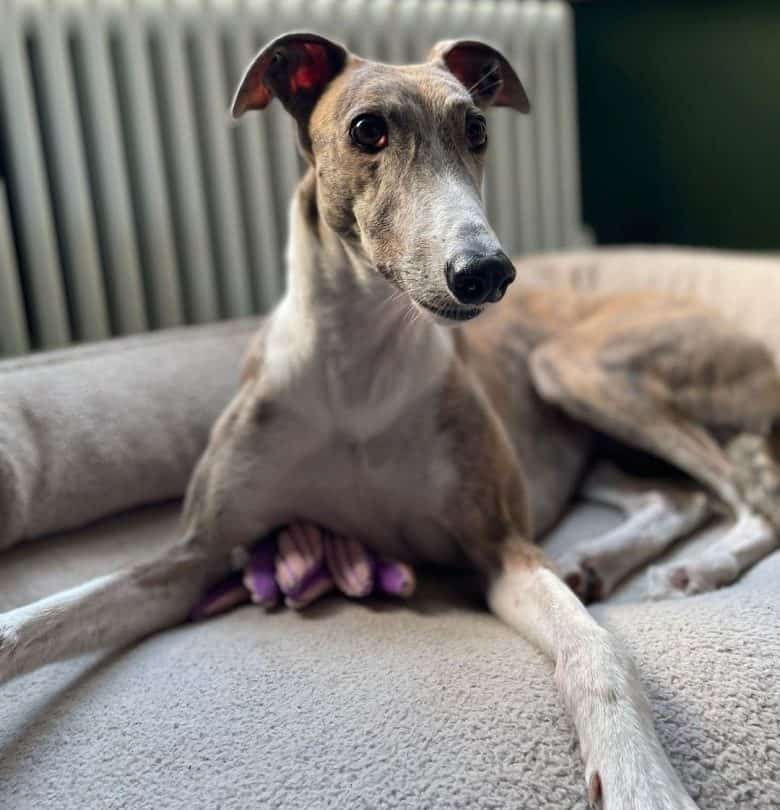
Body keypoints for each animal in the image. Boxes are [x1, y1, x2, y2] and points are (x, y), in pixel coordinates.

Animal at [1, 33, 780, 808]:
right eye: (368, 129)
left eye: (478, 129)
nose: (486, 273)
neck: (359, 370)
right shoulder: (192, 555)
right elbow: (37, 620)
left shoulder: (500, 545)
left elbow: (595, 647)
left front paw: (640, 779)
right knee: (677, 496)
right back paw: (596, 559)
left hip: (578, 369)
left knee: (747, 498)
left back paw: (696, 567)